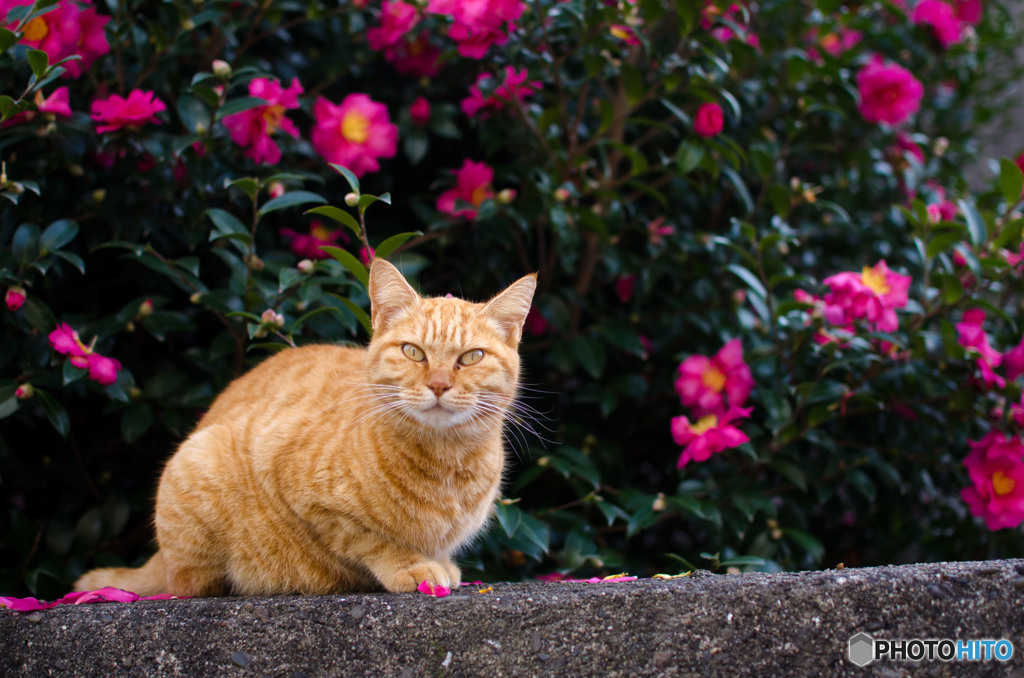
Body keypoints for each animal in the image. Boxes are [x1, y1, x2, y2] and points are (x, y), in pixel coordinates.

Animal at [74, 258, 536, 598]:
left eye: (471, 357)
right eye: (413, 352)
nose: (439, 384)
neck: (445, 461)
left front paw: (437, 563)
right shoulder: (308, 496)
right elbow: (371, 540)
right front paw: (411, 565)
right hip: (199, 463)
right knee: (187, 584)